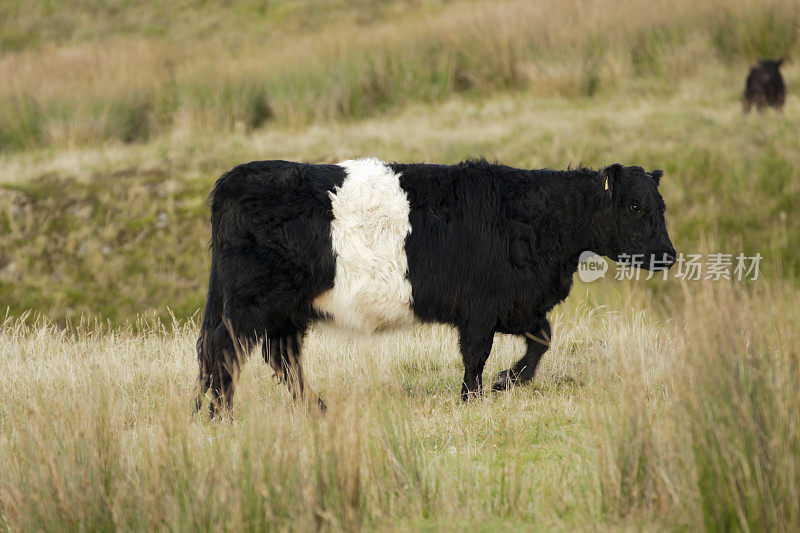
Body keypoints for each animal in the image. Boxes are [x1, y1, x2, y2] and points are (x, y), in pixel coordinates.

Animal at [195, 156, 676, 414]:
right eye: (636, 206)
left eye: (661, 205)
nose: (669, 255)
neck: (532, 219)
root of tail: (234, 179)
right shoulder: (481, 309)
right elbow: (476, 356)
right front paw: (473, 397)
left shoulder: (517, 305)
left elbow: (542, 339)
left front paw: (507, 381)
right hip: (251, 303)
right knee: (224, 349)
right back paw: (219, 415)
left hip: (285, 311)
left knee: (281, 359)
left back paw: (314, 409)